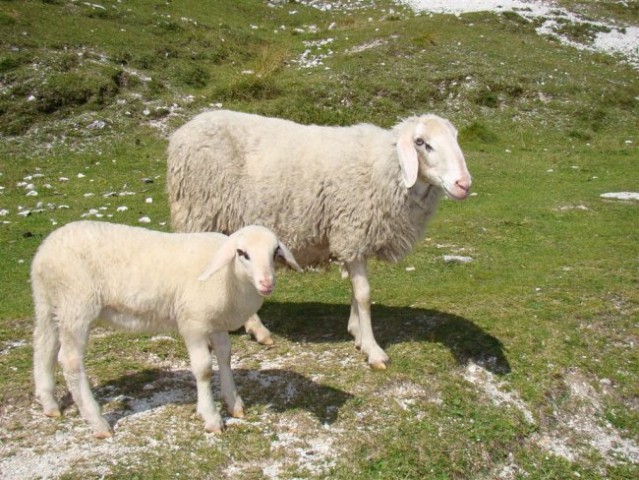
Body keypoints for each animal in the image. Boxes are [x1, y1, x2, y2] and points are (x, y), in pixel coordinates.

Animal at [33, 221, 304, 438]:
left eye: (275, 251)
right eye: (242, 253)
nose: (267, 284)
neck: (229, 278)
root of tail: (44, 251)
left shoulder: (216, 324)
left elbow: (225, 358)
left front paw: (233, 402)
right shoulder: (193, 323)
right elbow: (204, 369)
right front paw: (211, 417)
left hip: (49, 303)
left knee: (44, 348)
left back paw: (49, 403)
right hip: (76, 304)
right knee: (69, 361)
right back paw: (97, 422)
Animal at [168, 110, 472, 370]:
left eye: (456, 138)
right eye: (421, 143)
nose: (464, 184)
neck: (386, 169)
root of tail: (181, 132)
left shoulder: (353, 238)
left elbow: (355, 291)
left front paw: (357, 334)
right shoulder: (352, 230)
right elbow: (364, 294)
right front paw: (373, 350)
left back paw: (257, 329)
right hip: (200, 214)